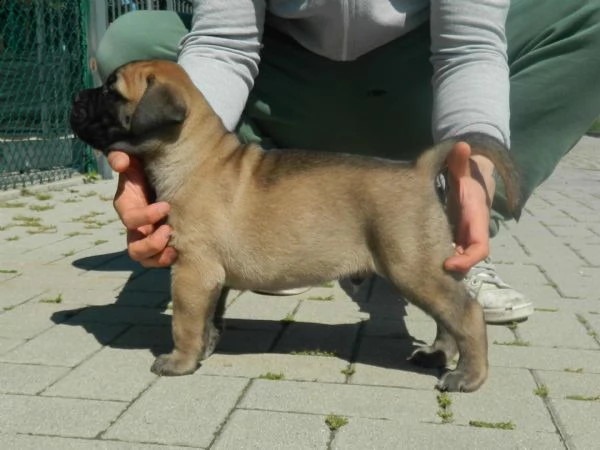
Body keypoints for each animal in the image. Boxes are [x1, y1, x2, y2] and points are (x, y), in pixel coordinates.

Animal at [70, 60, 520, 394]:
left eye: (111, 92)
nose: (75, 97)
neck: (192, 153)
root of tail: (418, 169)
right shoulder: (211, 277)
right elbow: (210, 317)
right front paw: (205, 348)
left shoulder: (192, 272)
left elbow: (184, 320)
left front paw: (180, 361)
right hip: (426, 267)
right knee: (448, 313)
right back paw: (438, 355)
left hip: (411, 267)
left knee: (466, 311)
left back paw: (468, 377)